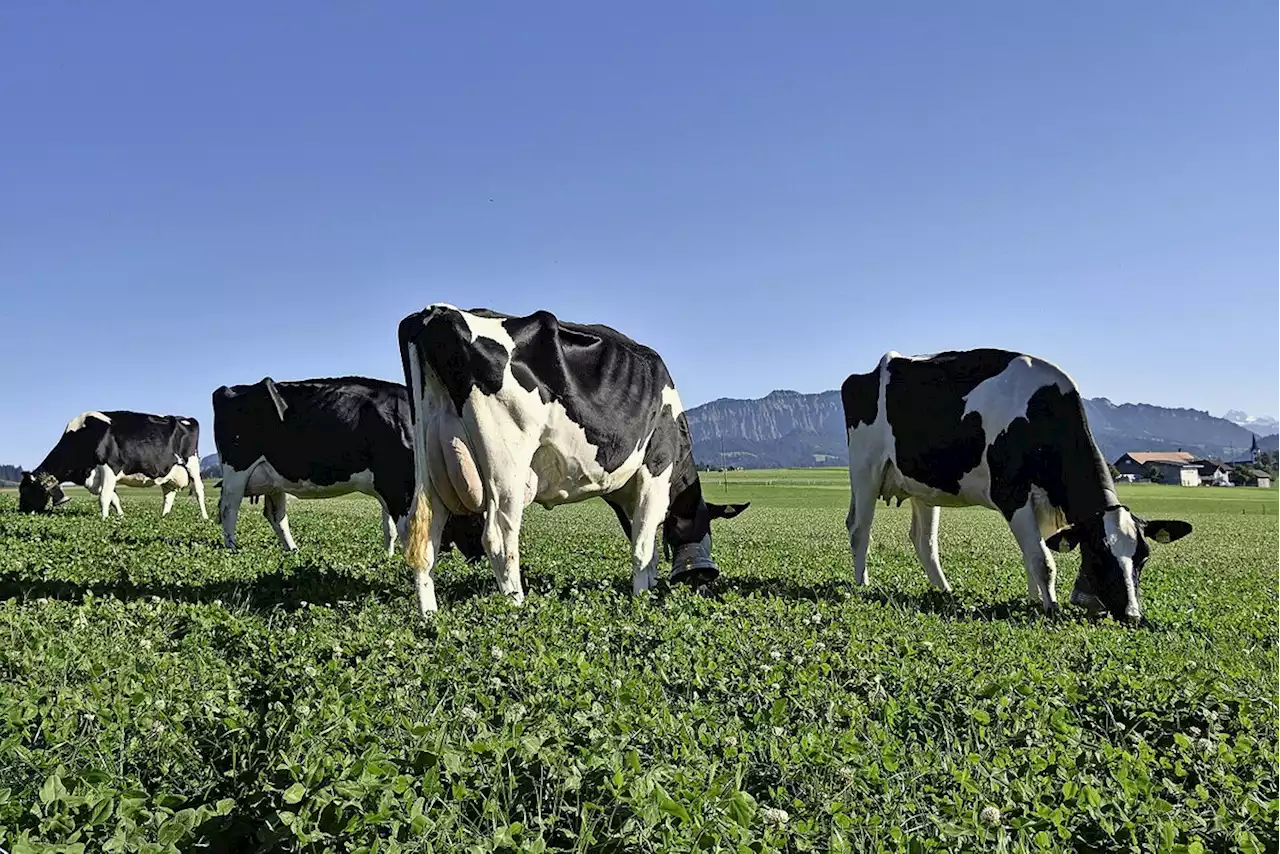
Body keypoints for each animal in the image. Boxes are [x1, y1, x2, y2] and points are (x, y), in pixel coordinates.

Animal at [17, 409, 206, 517]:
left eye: (24, 490)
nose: (21, 511)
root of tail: (186, 418)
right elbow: (114, 498)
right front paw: (120, 517)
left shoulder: (110, 466)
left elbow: (104, 497)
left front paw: (103, 519)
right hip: (168, 472)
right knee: (168, 495)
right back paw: (163, 517)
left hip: (192, 464)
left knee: (198, 491)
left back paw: (204, 517)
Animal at [212, 376, 481, 558]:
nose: (477, 555)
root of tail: (230, 389)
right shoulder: (394, 481)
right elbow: (402, 524)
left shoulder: (390, 484)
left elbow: (389, 526)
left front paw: (388, 555)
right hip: (237, 470)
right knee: (228, 508)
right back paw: (232, 548)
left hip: (273, 479)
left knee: (275, 515)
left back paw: (293, 549)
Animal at [394, 303, 747, 617]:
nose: (703, 585)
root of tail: (435, 312)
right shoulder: (655, 472)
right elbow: (643, 546)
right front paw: (642, 600)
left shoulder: (625, 492)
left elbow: (644, 542)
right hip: (506, 468)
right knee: (499, 539)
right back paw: (516, 607)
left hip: (431, 467)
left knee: (422, 536)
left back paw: (429, 615)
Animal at [844, 350, 1192, 624]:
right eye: (1099, 553)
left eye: (1143, 556)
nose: (1132, 614)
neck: (1042, 414)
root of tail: (874, 369)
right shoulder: (1012, 495)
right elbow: (1043, 560)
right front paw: (1051, 608)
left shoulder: (1040, 502)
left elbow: (1033, 555)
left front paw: (1036, 600)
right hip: (865, 468)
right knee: (860, 529)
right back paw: (863, 584)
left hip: (923, 486)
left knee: (924, 541)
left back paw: (944, 590)